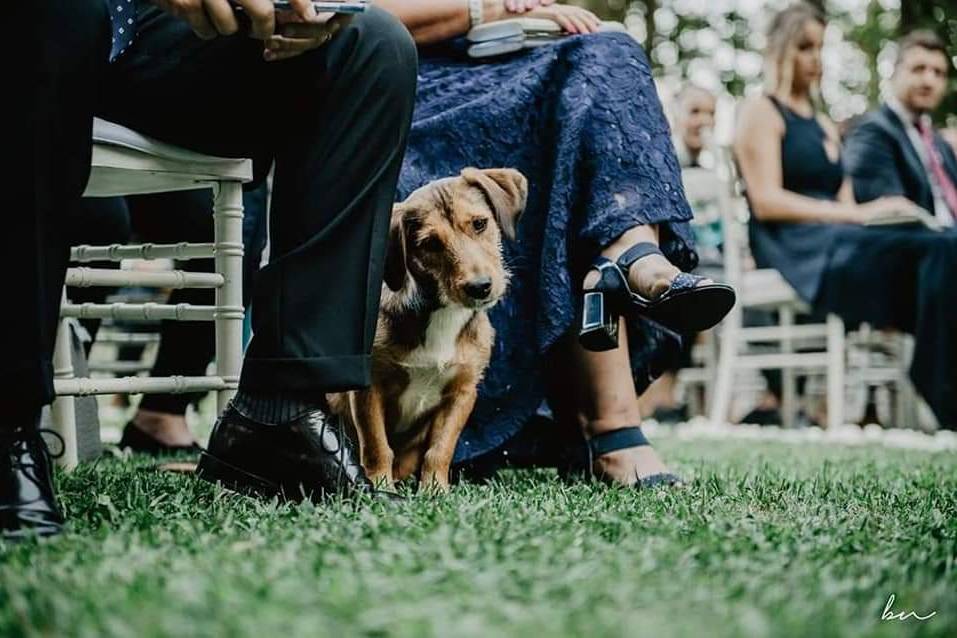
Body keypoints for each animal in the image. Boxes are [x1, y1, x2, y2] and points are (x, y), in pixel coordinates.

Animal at [326, 169, 524, 490]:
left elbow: (440, 448)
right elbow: (377, 444)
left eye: (480, 224)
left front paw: (435, 490)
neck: (443, 313)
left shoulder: (462, 392)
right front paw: (379, 486)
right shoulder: (368, 390)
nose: (480, 287)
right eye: (430, 243)